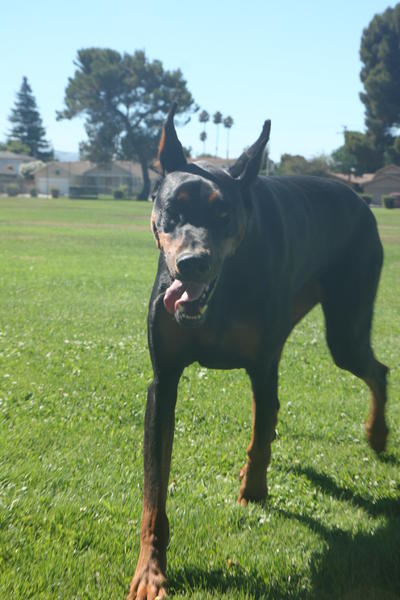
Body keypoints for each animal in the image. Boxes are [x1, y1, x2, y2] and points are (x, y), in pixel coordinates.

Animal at [128, 104, 389, 599]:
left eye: (224, 214)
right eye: (173, 210)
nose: (192, 263)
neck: (222, 291)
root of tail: (358, 198)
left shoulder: (262, 365)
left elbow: (260, 434)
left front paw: (253, 490)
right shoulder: (163, 382)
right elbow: (154, 488)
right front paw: (150, 570)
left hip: (344, 330)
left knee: (376, 369)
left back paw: (378, 435)